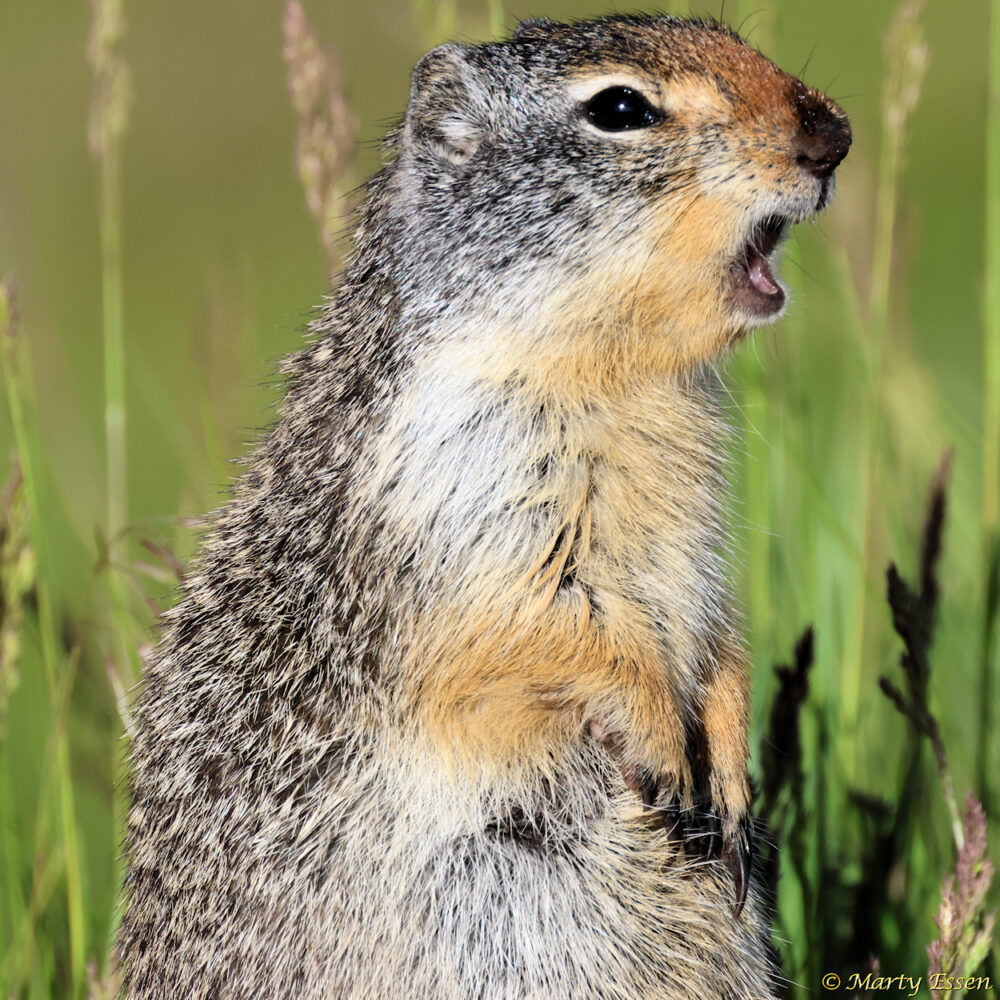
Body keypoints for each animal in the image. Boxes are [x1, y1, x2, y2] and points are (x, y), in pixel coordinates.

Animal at [118, 13, 850, 1000]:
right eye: (621, 108)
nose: (834, 135)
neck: (624, 379)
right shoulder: (463, 491)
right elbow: (544, 627)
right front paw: (664, 751)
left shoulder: (701, 545)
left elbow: (717, 633)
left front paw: (729, 780)